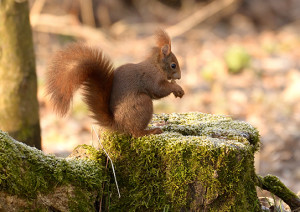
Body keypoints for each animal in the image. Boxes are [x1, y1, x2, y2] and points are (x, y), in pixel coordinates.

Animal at [46, 29, 184, 137]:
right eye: (173, 65)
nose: (179, 77)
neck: (156, 65)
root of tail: (118, 124)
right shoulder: (152, 77)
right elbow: (159, 90)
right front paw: (177, 88)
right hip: (142, 103)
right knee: (136, 133)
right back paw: (150, 131)